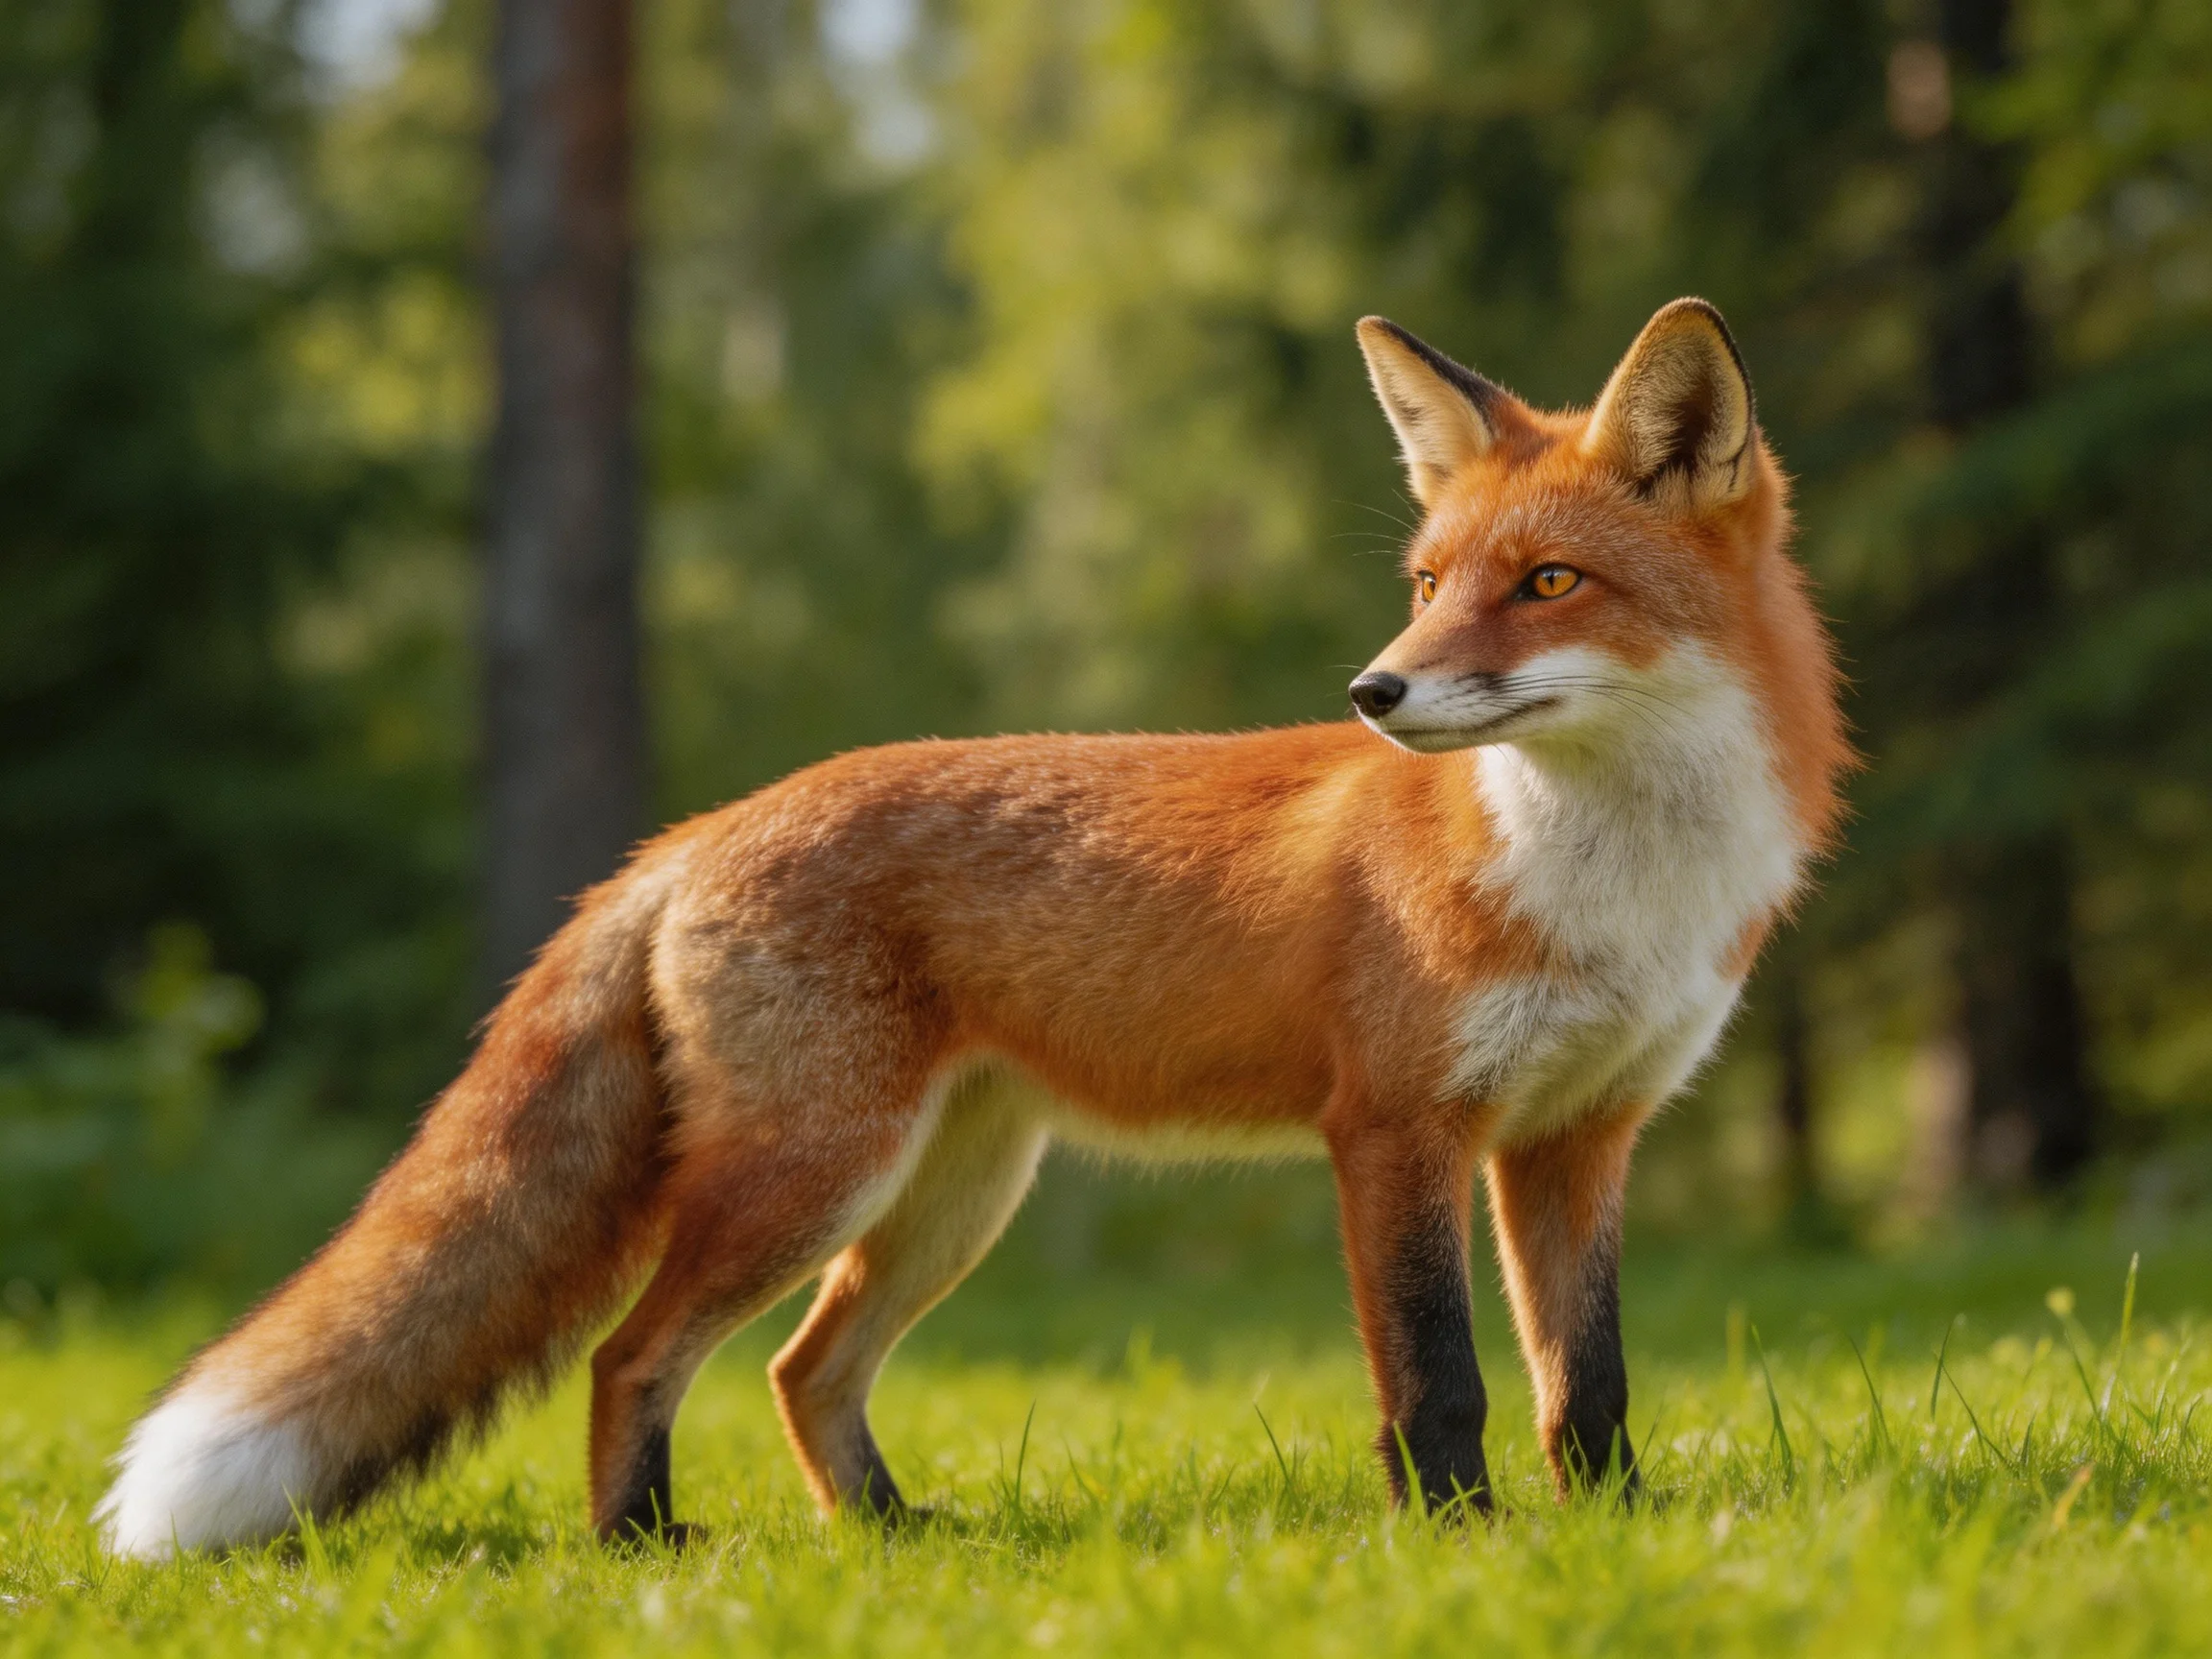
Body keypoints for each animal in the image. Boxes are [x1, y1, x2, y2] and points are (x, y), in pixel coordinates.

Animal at [98, 297, 1846, 1556]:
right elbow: (1438, 1376)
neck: (1607, 873)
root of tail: (685, 837)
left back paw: (885, 1537)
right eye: (1427, 584)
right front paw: (1459, 1543)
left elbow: (1585, 1380)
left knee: (801, 1370)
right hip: (815, 1173)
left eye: (1545, 581)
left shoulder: (1576, 1137)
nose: (1374, 691)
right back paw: (641, 1549)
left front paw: (1610, 1531)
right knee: (630, 1353)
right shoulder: (1396, 1129)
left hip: (948, 1194)